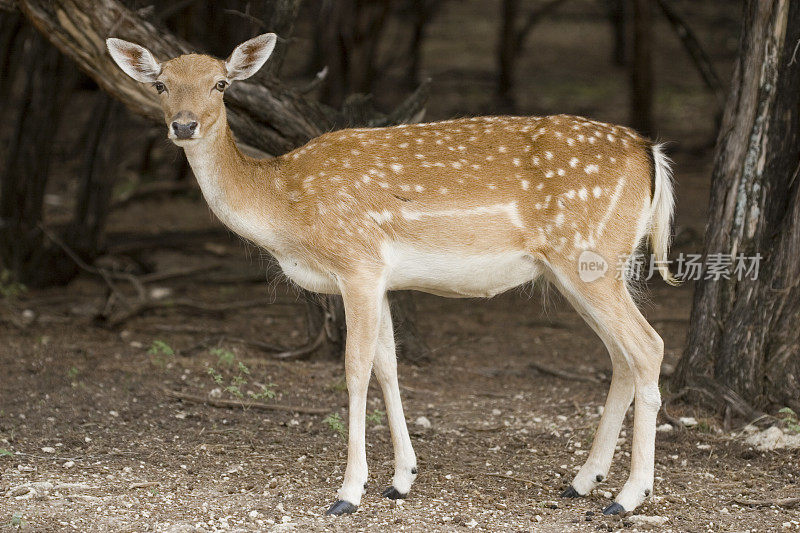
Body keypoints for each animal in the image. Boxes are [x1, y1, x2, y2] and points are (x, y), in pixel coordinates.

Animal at [108, 33, 676, 516]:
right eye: (161, 83)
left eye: (221, 84)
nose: (184, 125)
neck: (285, 209)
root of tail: (651, 153)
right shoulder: (378, 277)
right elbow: (389, 366)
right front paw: (401, 479)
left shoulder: (356, 262)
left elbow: (355, 368)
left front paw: (348, 492)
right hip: (580, 269)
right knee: (621, 357)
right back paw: (582, 481)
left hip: (587, 256)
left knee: (649, 346)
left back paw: (628, 496)